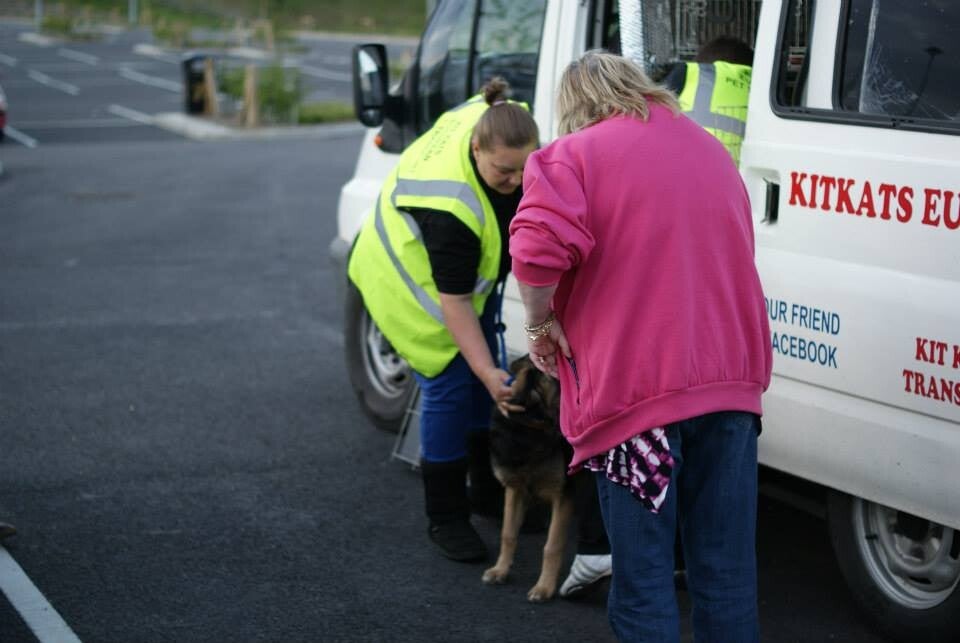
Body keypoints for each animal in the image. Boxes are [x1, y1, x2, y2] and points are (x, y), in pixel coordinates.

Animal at [481, 355, 575, 602]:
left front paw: (544, 587)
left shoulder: (564, 496)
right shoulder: (515, 490)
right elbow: (508, 534)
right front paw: (501, 570)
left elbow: (552, 546)